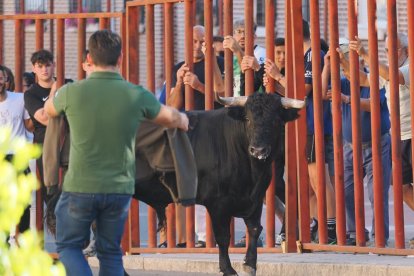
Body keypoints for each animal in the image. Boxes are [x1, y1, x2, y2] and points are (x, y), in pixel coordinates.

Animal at [134, 93, 302, 276]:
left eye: (276, 120)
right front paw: (227, 268)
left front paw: (250, 264)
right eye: (248, 118)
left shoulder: (256, 199)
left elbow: (254, 229)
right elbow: (223, 237)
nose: (258, 150)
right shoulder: (218, 203)